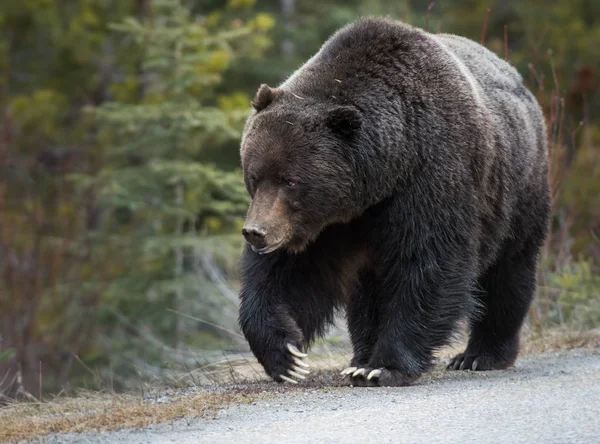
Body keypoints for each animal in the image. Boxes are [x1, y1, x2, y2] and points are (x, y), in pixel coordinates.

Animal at [237, 15, 552, 386]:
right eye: (254, 176)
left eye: (290, 181)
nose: (255, 232)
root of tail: (520, 81)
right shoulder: (327, 224)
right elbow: (290, 274)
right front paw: (287, 356)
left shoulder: (432, 174)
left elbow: (430, 263)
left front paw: (384, 366)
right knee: (367, 291)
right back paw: (359, 355)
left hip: (517, 192)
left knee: (508, 273)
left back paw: (479, 354)